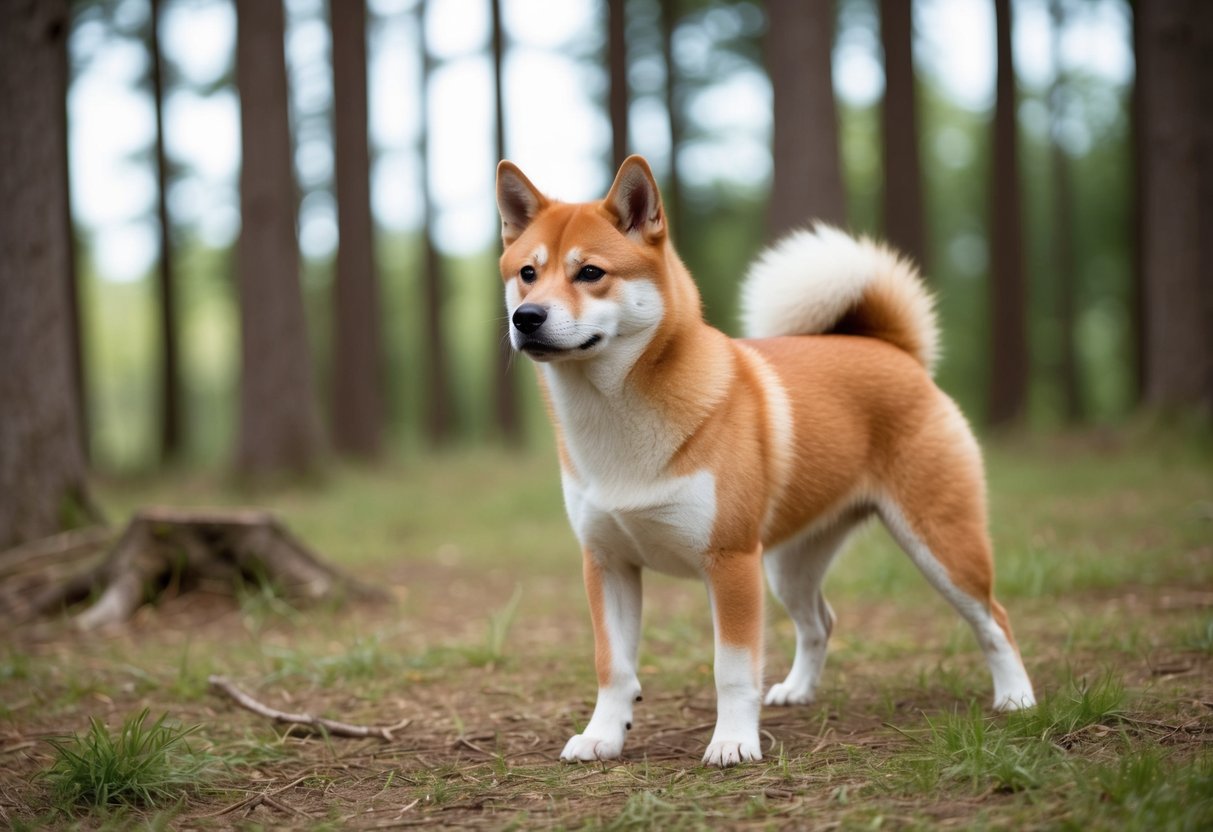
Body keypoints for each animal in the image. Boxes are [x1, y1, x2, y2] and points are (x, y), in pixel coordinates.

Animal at [495, 155, 1035, 768]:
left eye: (590, 272)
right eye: (527, 273)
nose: (527, 317)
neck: (614, 422)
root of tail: (893, 350)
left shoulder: (730, 564)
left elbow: (731, 669)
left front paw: (732, 741)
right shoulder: (607, 563)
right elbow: (614, 667)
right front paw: (603, 736)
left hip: (940, 543)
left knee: (995, 620)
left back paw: (1016, 697)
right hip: (789, 565)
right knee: (820, 622)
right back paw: (797, 690)